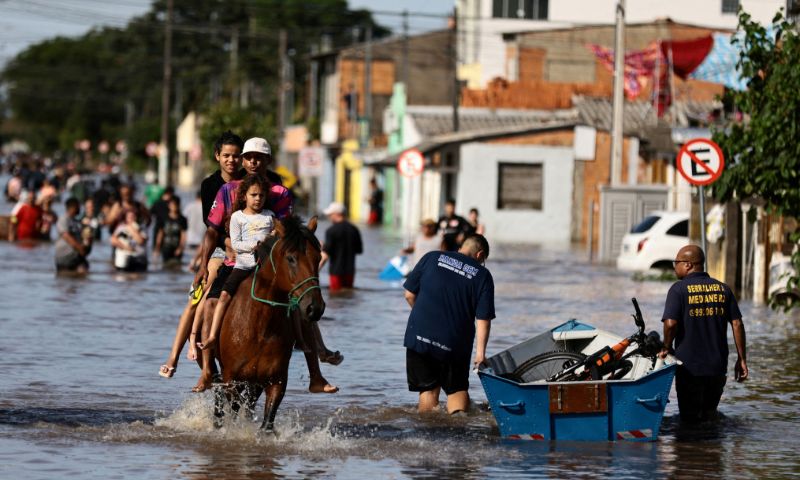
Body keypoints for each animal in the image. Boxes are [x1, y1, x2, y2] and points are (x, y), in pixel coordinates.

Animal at [214, 216, 326, 430]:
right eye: (291, 258)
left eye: (318, 258)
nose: (315, 308)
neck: (260, 327)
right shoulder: (231, 378)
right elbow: (233, 408)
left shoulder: (275, 381)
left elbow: (266, 423)